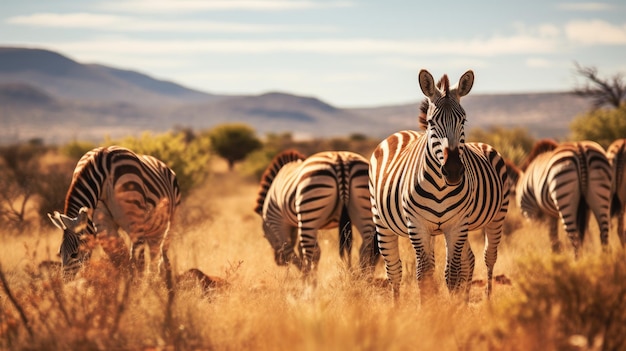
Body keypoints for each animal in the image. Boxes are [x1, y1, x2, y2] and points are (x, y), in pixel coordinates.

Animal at [47, 144, 180, 280]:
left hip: (166, 220)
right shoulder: (103, 224)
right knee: (154, 252)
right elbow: (119, 255)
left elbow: (134, 259)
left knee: (157, 253)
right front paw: (122, 282)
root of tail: (161, 163)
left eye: (75, 254)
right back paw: (154, 280)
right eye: (60, 252)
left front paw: (132, 284)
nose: (65, 282)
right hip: (153, 225)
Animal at [252, 150, 378, 280]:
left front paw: (303, 274)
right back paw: (363, 278)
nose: (279, 262)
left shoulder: (276, 221)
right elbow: (300, 249)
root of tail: (341, 160)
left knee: (311, 252)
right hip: (365, 211)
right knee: (366, 248)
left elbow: (290, 251)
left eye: (264, 236)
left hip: (309, 211)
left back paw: (309, 282)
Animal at [368, 69, 510, 300]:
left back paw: (485, 302)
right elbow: (424, 277)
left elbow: (452, 276)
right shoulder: (418, 225)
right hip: (381, 222)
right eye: (432, 122)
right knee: (394, 271)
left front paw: (451, 308)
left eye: (463, 120)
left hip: (497, 216)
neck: (440, 188)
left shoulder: (457, 224)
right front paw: (430, 308)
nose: (452, 171)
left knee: (486, 258)